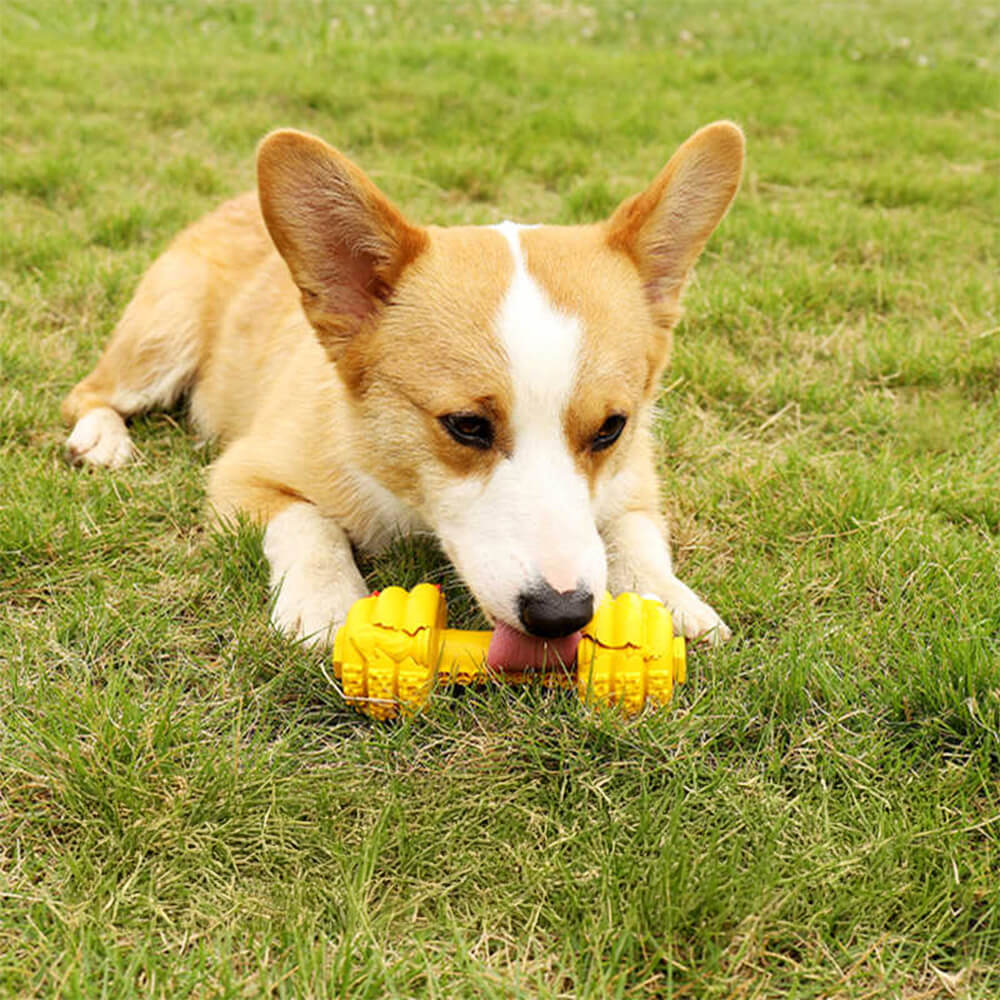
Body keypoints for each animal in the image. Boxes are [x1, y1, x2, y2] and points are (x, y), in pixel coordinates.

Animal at [62, 123, 748, 664]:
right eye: (466, 425)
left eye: (611, 428)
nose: (563, 614)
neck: (411, 499)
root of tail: (231, 203)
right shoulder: (244, 476)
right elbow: (308, 524)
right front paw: (326, 604)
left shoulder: (634, 485)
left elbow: (635, 538)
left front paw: (672, 600)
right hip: (160, 344)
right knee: (88, 392)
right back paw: (101, 438)